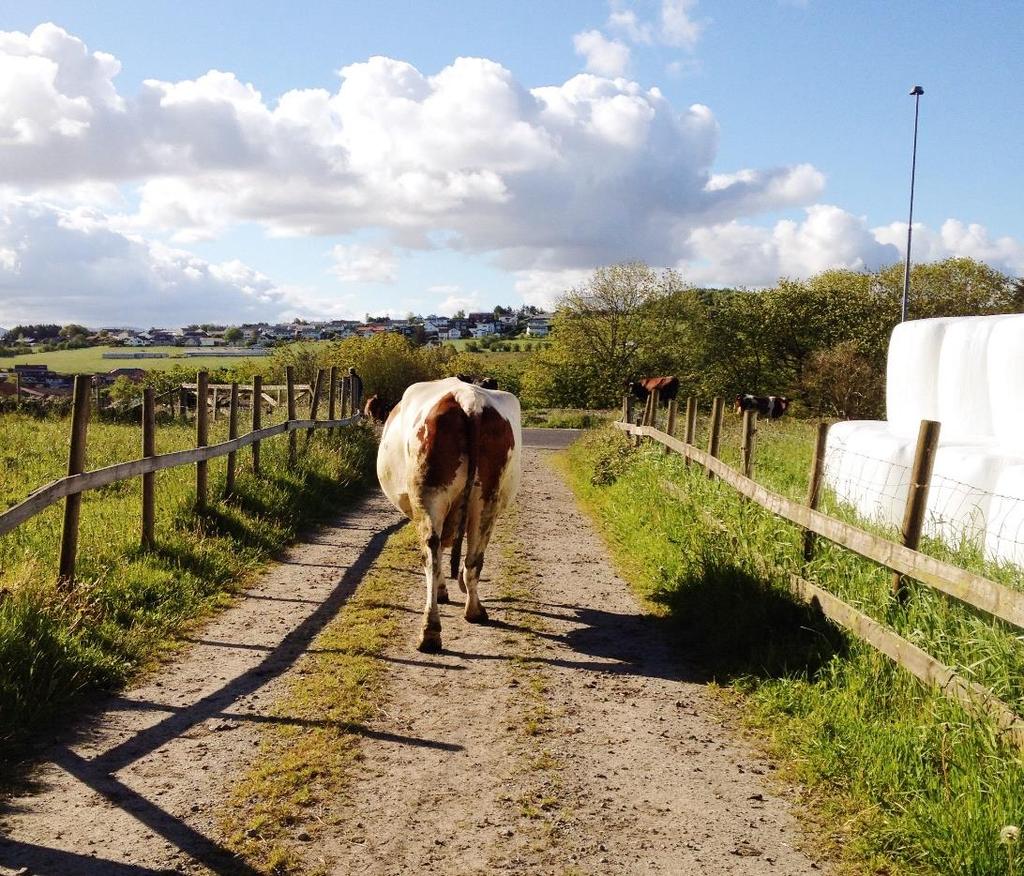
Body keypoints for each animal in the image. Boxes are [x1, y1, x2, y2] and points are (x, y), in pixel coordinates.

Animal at [374, 377, 520, 651]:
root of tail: (468, 401)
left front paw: (443, 590)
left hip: (429, 495)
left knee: (431, 554)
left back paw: (433, 628)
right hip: (485, 500)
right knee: (472, 559)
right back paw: (466, 614)